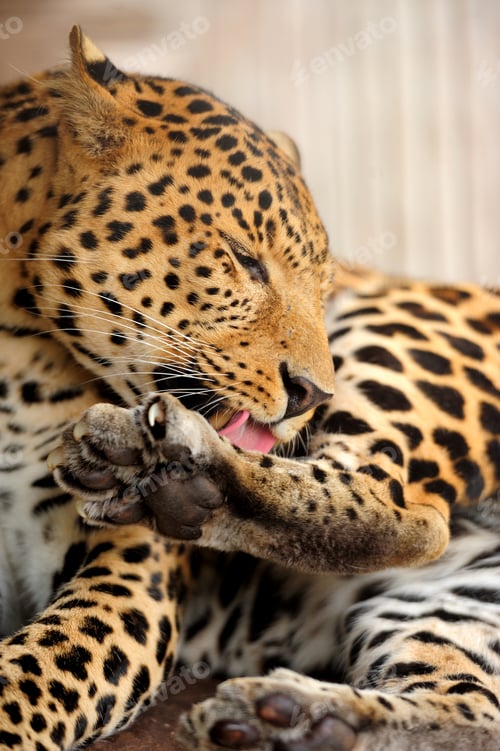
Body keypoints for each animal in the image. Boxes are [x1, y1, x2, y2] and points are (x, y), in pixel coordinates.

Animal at [0, 24, 498, 751]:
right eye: (243, 260)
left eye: (324, 287)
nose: (314, 394)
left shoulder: (129, 573)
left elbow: (30, 677)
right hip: (454, 605)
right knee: (469, 709)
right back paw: (293, 718)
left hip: (403, 340)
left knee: (400, 507)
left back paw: (163, 464)